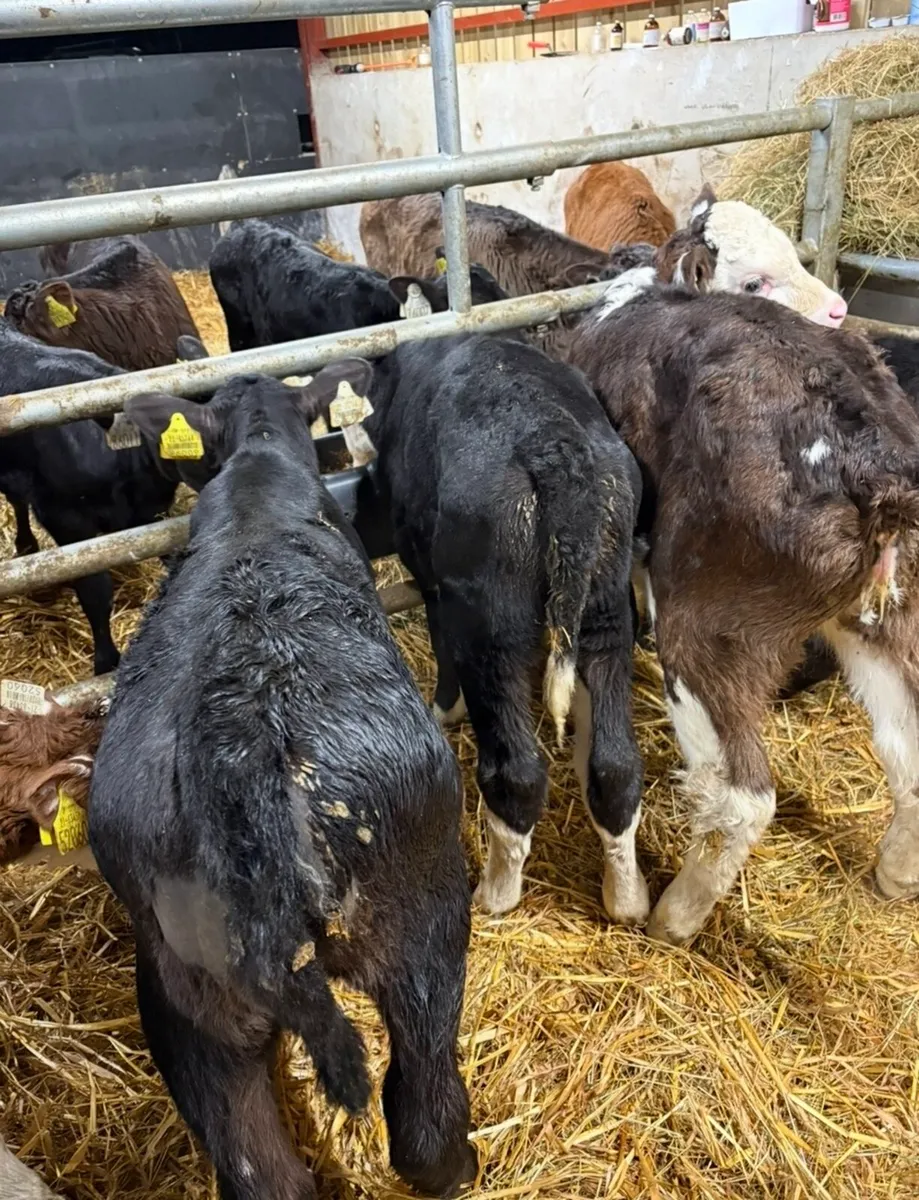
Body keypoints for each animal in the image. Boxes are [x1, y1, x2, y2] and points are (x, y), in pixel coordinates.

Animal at [89, 367, 477, 1200]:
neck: (260, 463)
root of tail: (243, 747)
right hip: (427, 925)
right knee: (423, 1119)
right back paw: (463, 1163)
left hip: (191, 1001)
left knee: (260, 1166)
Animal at [564, 269, 919, 944]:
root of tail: (875, 465)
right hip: (888, 617)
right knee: (909, 751)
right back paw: (894, 875)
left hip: (711, 622)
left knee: (741, 799)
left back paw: (674, 919)